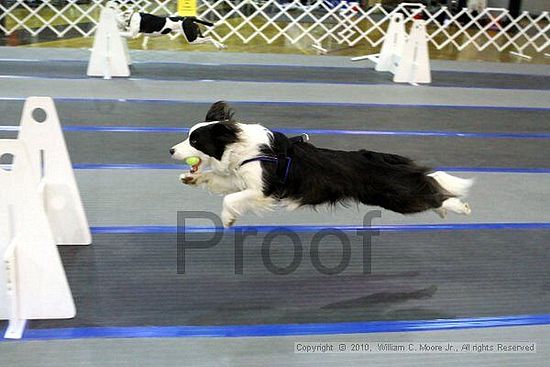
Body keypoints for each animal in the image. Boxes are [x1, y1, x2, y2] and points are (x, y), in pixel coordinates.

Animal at [169, 101, 474, 227]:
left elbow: (230, 199)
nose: (171, 150)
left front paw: (228, 219)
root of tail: (389, 159)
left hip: (397, 196)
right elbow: (218, 181)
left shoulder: (263, 190)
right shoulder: (243, 177)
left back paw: (460, 207)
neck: (240, 146)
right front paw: (191, 178)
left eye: (195, 140)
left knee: (433, 191)